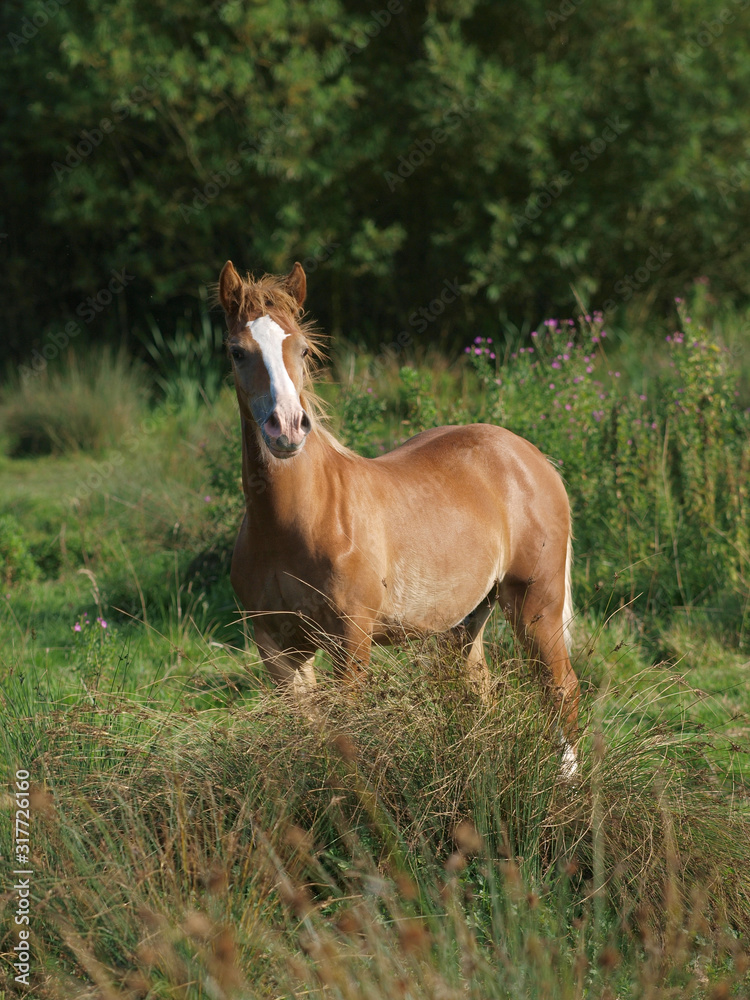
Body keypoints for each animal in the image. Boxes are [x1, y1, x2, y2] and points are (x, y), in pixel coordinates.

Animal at [218, 260, 580, 770]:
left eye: (302, 348)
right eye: (237, 352)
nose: (286, 428)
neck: (293, 524)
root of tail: (532, 457)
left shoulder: (351, 640)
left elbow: (347, 733)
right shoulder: (276, 648)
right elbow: (308, 734)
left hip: (535, 606)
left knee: (561, 689)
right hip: (466, 621)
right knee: (479, 691)